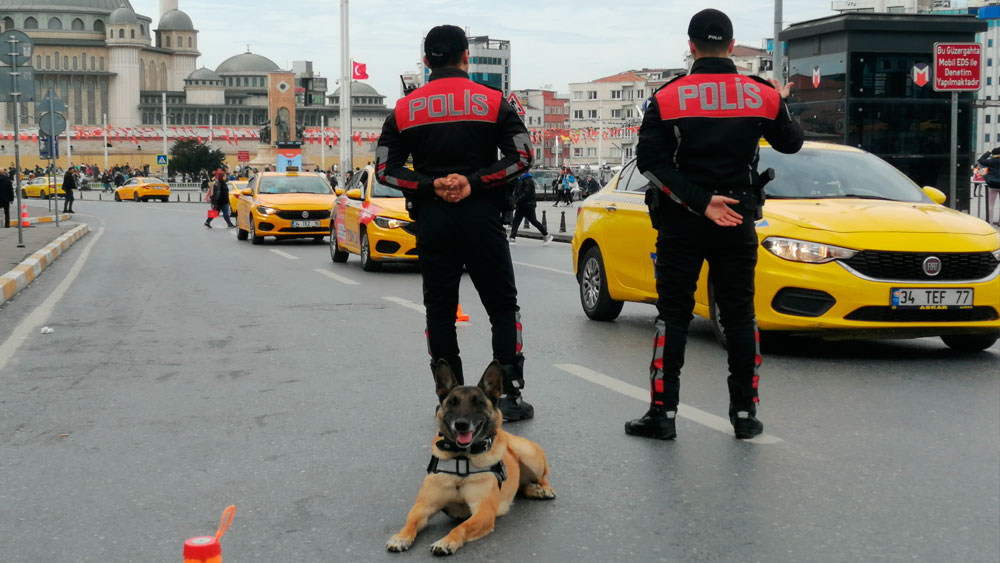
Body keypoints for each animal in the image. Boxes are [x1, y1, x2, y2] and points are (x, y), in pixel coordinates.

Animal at [384, 362, 556, 556]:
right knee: (522, 486)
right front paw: (401, 536)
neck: (462, 458)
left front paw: (446, 541)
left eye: (478, 403)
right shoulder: (424, 506)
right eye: (452, 402)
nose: (461, 424)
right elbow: (411, 522)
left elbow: (461, 528)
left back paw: (542, 489)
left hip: (529, 455)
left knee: (542, 477)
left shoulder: (484, 512)